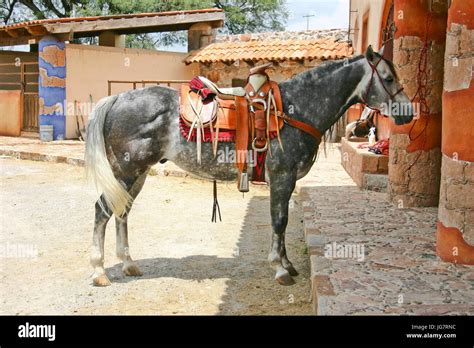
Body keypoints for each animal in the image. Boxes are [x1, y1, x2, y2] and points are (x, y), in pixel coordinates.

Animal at [87, 45, 412, 286]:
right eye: (388, 78)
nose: (409, 112)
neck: (294, 110)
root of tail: (117, 98)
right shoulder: (282, 177)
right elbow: (279, 221)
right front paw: (280, 269)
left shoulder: (286, 182)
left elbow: (281, 221)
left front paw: (287, 264)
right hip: (126, 171)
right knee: (102, 211)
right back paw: (99, 271)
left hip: (137, 173)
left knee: (122, 211)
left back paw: (129, 264)